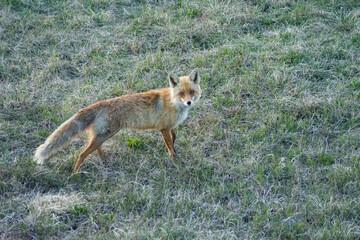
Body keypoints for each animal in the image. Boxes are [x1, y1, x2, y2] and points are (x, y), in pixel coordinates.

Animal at [33, 68, 202, 172]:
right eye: (181, 93)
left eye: (191, 92)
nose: (189, 102)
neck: (173, 102)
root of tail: (102, 103)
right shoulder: (163, 128)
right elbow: (170, 145)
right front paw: (175, 159)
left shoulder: (169, 127)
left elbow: (174, 138)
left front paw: (174, 153)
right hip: (106, 134)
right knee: (81, 154)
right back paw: (74, 173)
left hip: (103, 135)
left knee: (95, 148)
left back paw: (104, 160)